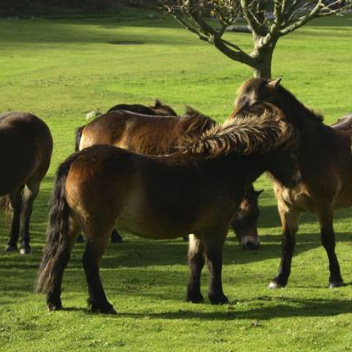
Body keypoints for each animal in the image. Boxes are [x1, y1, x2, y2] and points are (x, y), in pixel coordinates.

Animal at [0, 112, 53, 253]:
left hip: (34, 181)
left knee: (26, 208)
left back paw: (25, 244)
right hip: (14, 184)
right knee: (16, 208)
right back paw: (11, 243)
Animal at [235, 79, 352, 288]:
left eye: (255, 103)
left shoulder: (325, 206)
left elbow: (327, 239)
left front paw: (335, 277)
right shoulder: (286, 207)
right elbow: (287, 242)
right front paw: (280, 278)